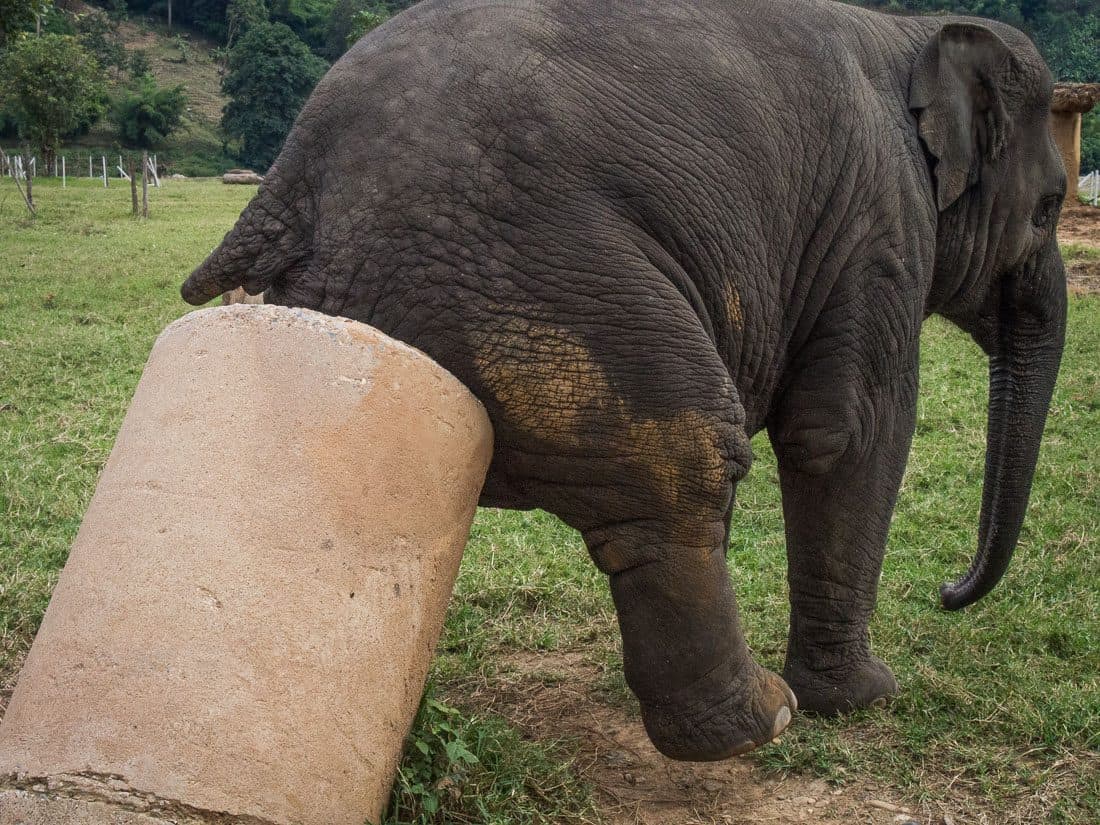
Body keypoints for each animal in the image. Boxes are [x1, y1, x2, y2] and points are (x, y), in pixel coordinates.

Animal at [180, 0, 1064, 761]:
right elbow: (847, 430)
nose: (947, 591)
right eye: (1053, 205)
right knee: (691, 459)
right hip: (551, 279)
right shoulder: (881, 220)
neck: (909, 29)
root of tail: (287, 182)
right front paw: (863, 697)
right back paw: (761, 719)